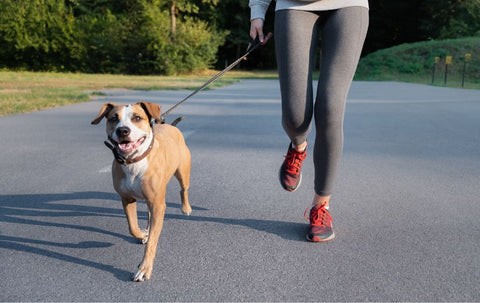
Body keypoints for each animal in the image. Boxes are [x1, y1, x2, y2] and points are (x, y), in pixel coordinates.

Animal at [92, 102, 191, 282]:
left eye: (137, 117)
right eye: (113, 118)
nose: (123, 130)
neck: (133, 162)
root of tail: (171, 127)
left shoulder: (158, 204)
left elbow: (153, 241)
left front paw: (144, 269)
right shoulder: (127, 199)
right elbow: (132, 227)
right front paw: (143, 234)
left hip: (182, 171)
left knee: (184, 189)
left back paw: (186, 208)